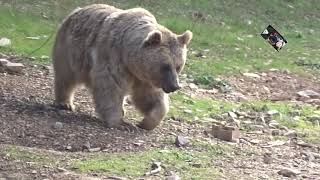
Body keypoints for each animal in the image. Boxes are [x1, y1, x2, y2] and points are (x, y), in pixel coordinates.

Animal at [52, 3, 192, 130]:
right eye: (165, 66)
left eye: (178, 66)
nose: (175, 86)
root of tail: (78, 10)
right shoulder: (112, 58)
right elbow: (111, 88)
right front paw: (120, 123)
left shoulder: (145, 77)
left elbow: (150, 97)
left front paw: (146, 122)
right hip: (70, 50)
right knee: (65, 76)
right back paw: (65, 103)